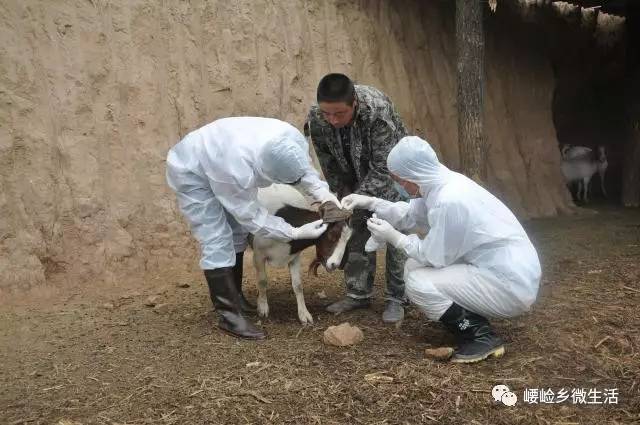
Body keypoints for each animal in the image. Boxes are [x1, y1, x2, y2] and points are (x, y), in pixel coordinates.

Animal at [249, 184, 352, 322]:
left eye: (347, 239)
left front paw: (304, 314)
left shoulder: (294, 257)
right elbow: (262, 281)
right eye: (332, 235)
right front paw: (263, 308)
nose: (334, 264)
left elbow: (298, 285)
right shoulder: (259, 255)